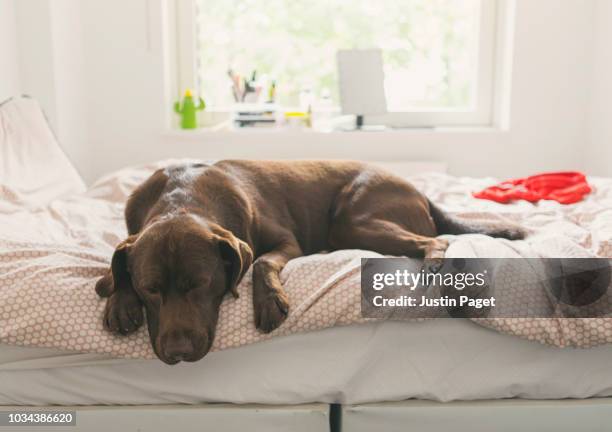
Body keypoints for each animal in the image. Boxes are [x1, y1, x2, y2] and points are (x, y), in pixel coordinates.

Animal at [94, 160, 520, 362]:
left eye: (200, 284)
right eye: (150, 289)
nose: (178, 352)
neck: (181, 197)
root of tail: (418, 190)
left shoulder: (286, 241)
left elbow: (261, 263)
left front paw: (270, 302)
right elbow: (116, 266)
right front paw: (119, 300)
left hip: (353, 219)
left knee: (436, 240)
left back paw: (434, 263)